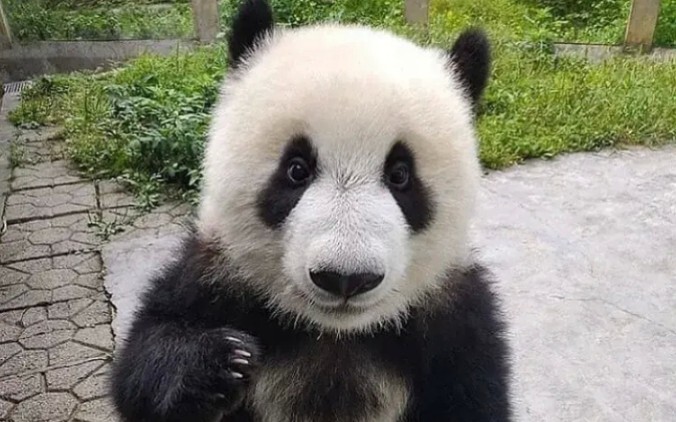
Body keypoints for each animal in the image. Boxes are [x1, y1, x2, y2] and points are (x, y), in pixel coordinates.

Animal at [110, 0, 511, 421]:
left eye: (401, 175)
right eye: (296, 169)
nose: (345, 279)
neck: (334, 332)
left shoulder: (456, 324)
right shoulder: (216, 276)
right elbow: (144, 359)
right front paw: (219, 364)